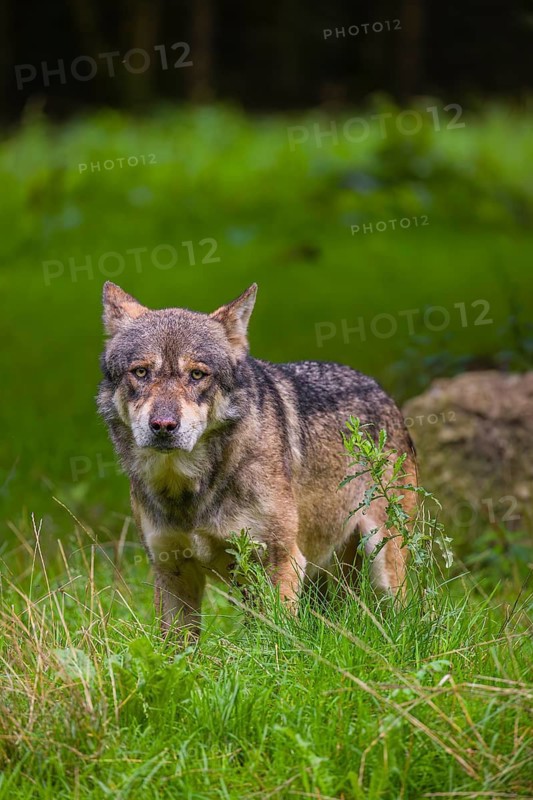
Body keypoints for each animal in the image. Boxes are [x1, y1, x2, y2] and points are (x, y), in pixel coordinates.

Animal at [98, 282, 417, 637]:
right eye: (140, 372)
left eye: (197, 375)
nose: (164, 426)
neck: (191, 490)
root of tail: (378, 388)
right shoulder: (170, 569)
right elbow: (176, 648)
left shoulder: (280, 562)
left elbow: (275, 640)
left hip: (381, 565)